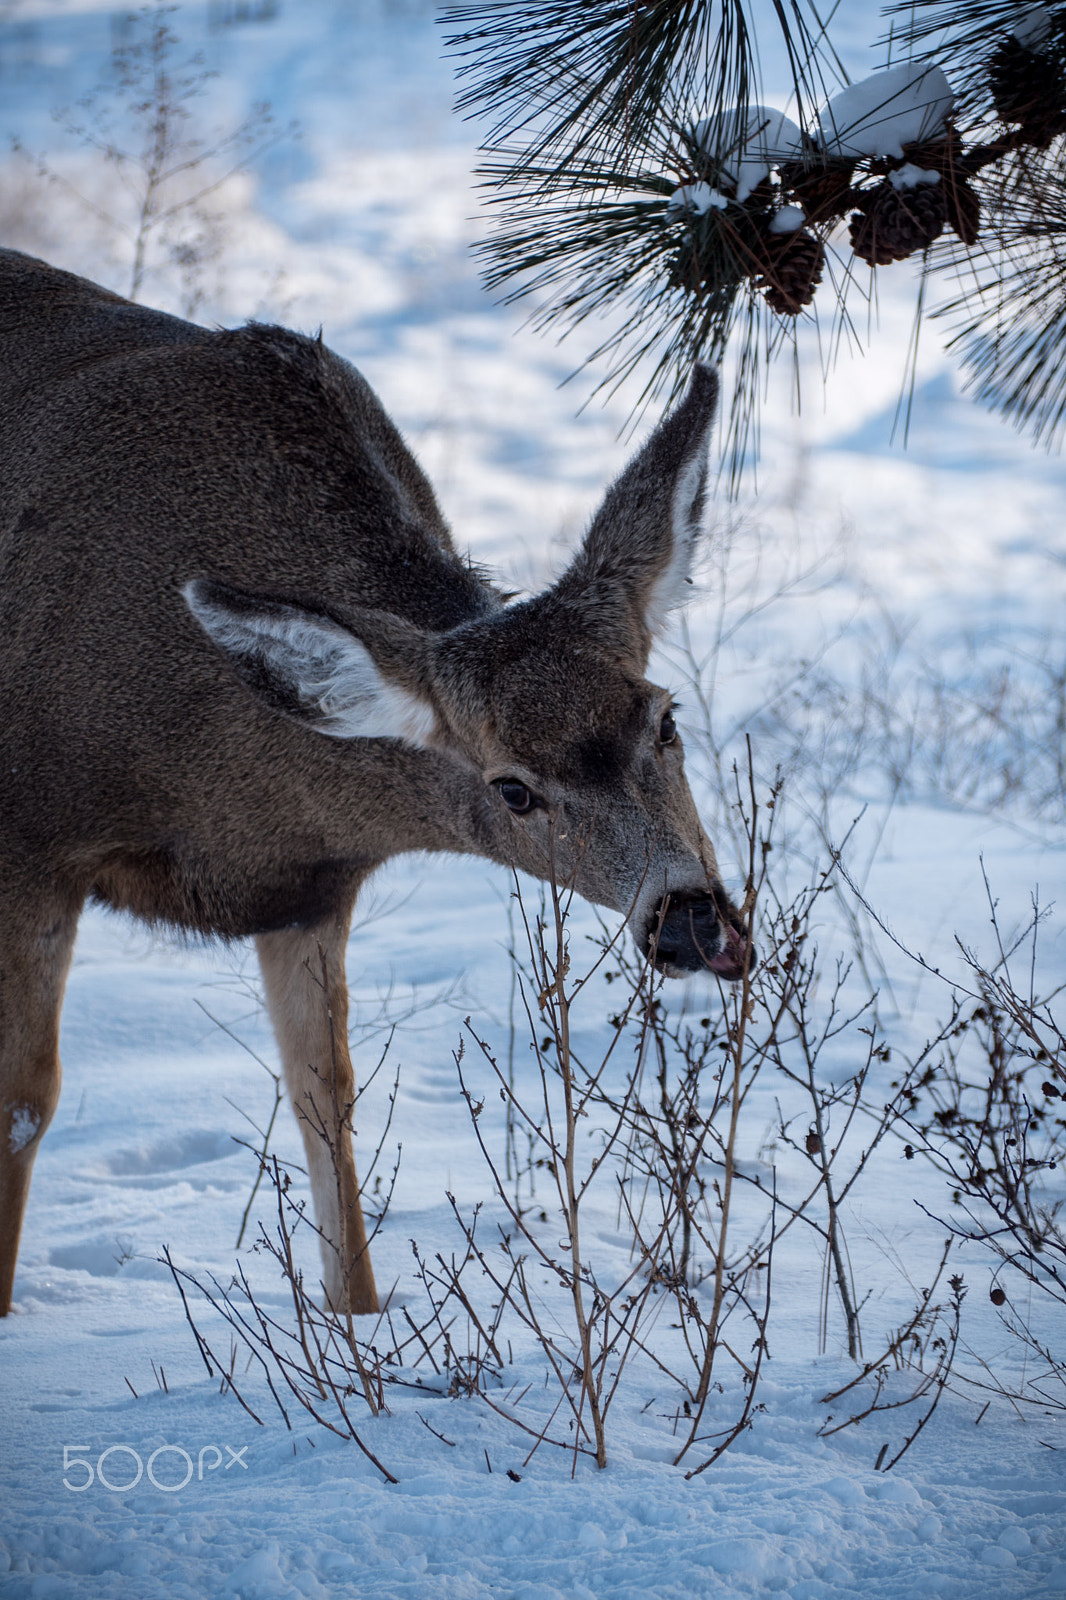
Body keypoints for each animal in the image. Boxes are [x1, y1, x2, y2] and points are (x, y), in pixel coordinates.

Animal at [0, 247, 751, 1320]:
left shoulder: (310, 888)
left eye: (666, 716)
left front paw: (356, 1316)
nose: (691, 918)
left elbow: (326, 1095)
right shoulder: (30, 835)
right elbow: (24, 1101)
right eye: (513, 788)